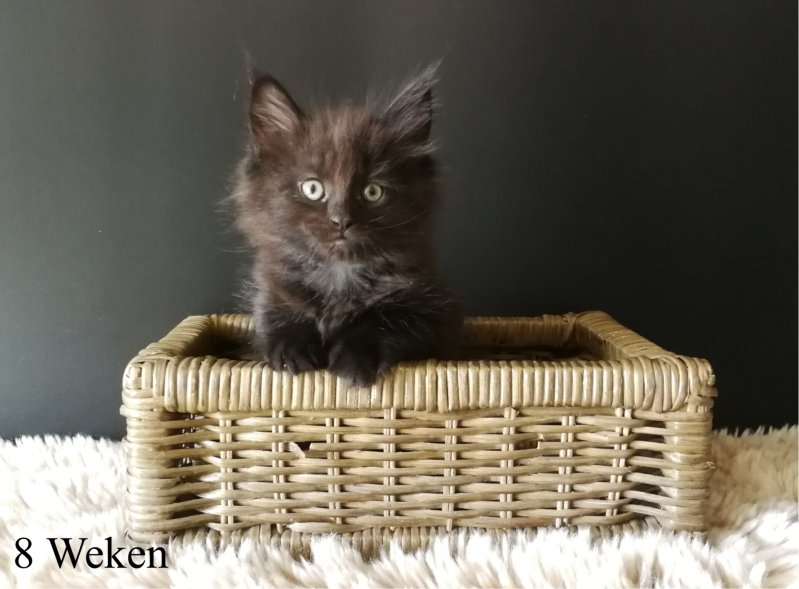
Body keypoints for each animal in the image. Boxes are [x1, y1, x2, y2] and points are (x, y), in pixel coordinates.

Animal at [231, 65, 461, 387]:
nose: (342, 220)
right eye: (313, 188)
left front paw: (354, 361)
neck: (338, 275)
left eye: (372, 191)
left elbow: (386, 322)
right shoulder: (271, 295)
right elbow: (276, 322)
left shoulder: (435, 309)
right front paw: (291, 352)